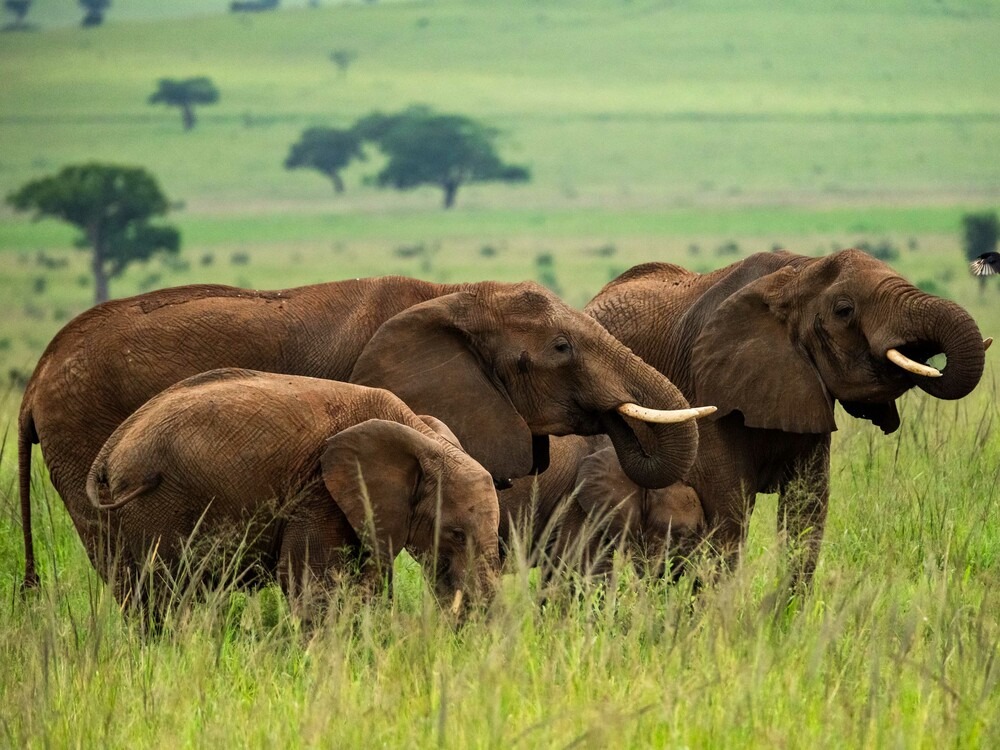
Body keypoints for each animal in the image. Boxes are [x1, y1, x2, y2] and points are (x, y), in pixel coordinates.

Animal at [86, 368, 501, 622]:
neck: (418, 433)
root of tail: (111, 448)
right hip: (156, 504)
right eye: (455, 534)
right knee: (165, 591)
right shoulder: (317, 491)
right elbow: (312, 581)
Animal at [581, 248, 988, 587]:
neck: (799, 272)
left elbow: (806, 511)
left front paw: (782, 618)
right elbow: (728, 514)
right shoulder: (708, 389)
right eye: (844, 310)